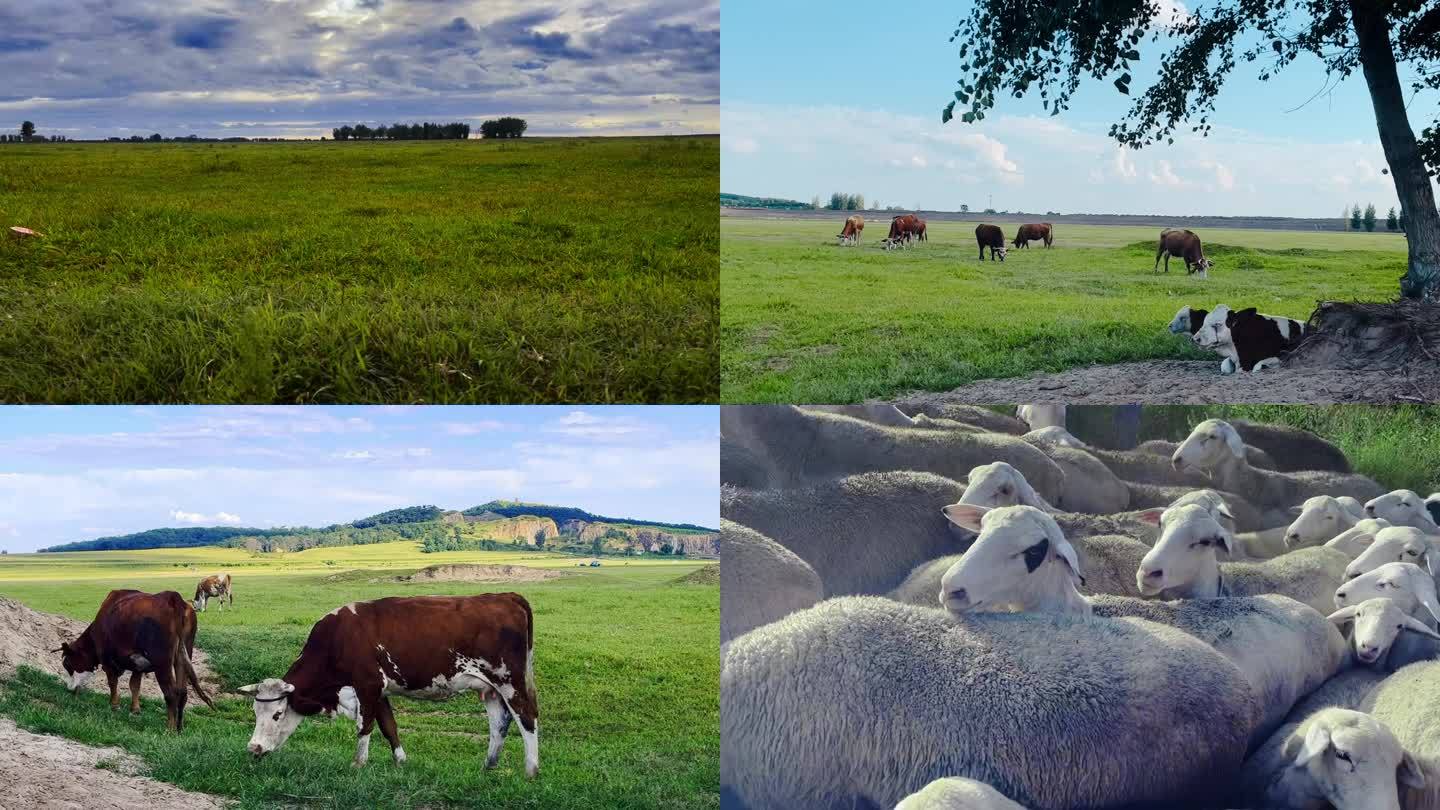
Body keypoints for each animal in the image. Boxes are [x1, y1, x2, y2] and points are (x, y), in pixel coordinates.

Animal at [55, 585, 210, 732]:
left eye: (67, 664)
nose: (69, 688)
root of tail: (172, 598)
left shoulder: (107, 661)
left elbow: (113, 682)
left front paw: (114, 705)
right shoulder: (138, 665)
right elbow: (134, 685)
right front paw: (135, 709)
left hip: (162, 664)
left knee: (171, 693)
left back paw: (170, 729)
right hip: (183, 655)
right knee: (183, 692)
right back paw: (179, 727)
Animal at [241, 590, 541, 772]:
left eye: (278, 714)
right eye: (256, 712)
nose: (253, 747)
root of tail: (506, 596)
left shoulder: (367, 685)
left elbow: (365, 726)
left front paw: (358, 763)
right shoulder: (380, 691)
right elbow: (389, 726)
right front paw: (400, 761)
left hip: (509, 680)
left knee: (527, 717)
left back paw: (531, 770)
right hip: (490, 688)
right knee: (499, 723)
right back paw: (489, 765)